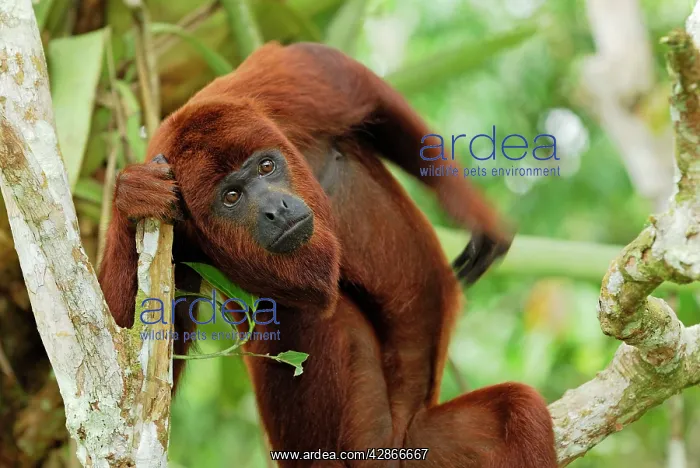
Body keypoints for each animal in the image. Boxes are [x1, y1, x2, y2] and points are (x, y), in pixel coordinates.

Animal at [98, 42, 556, 467]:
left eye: (266, 167)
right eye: (231, 197)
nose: (276, 208)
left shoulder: (274, 94)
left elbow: (345, 75)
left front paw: (479, 217)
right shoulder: (181, 238)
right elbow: (134, 372)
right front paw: (132, 194)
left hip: (427, 444)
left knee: (518, 411)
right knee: (307, 312)